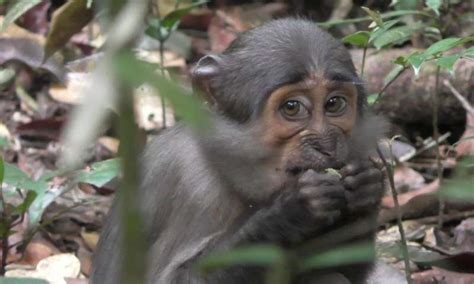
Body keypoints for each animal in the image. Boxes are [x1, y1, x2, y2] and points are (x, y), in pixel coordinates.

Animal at [90, 18, 394, 282]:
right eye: (292, 107)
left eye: (334, 104)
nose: (327, 145)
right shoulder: (190, 183)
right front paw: (288, 210)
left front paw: (365, 188)